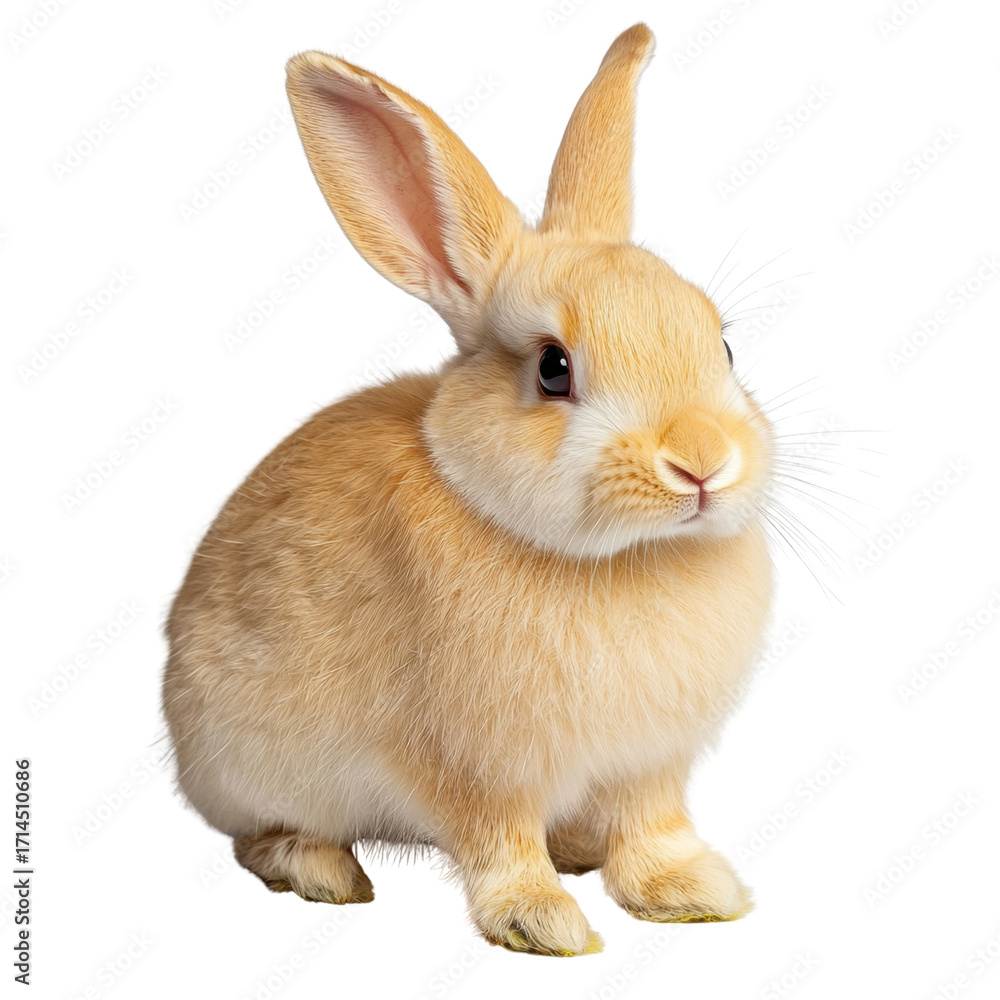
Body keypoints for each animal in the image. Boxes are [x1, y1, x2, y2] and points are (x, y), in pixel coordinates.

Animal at [163, 22, 775, 957]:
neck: (621, 560)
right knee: (260, 835)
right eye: (554, 369)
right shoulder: (475, 766)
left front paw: (694, 891)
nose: (702, 462)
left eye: (724, 346)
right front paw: (542, 923)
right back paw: (322, 870)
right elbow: (499, 840)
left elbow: (653, 828)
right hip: (249, 762)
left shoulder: (650, 765)